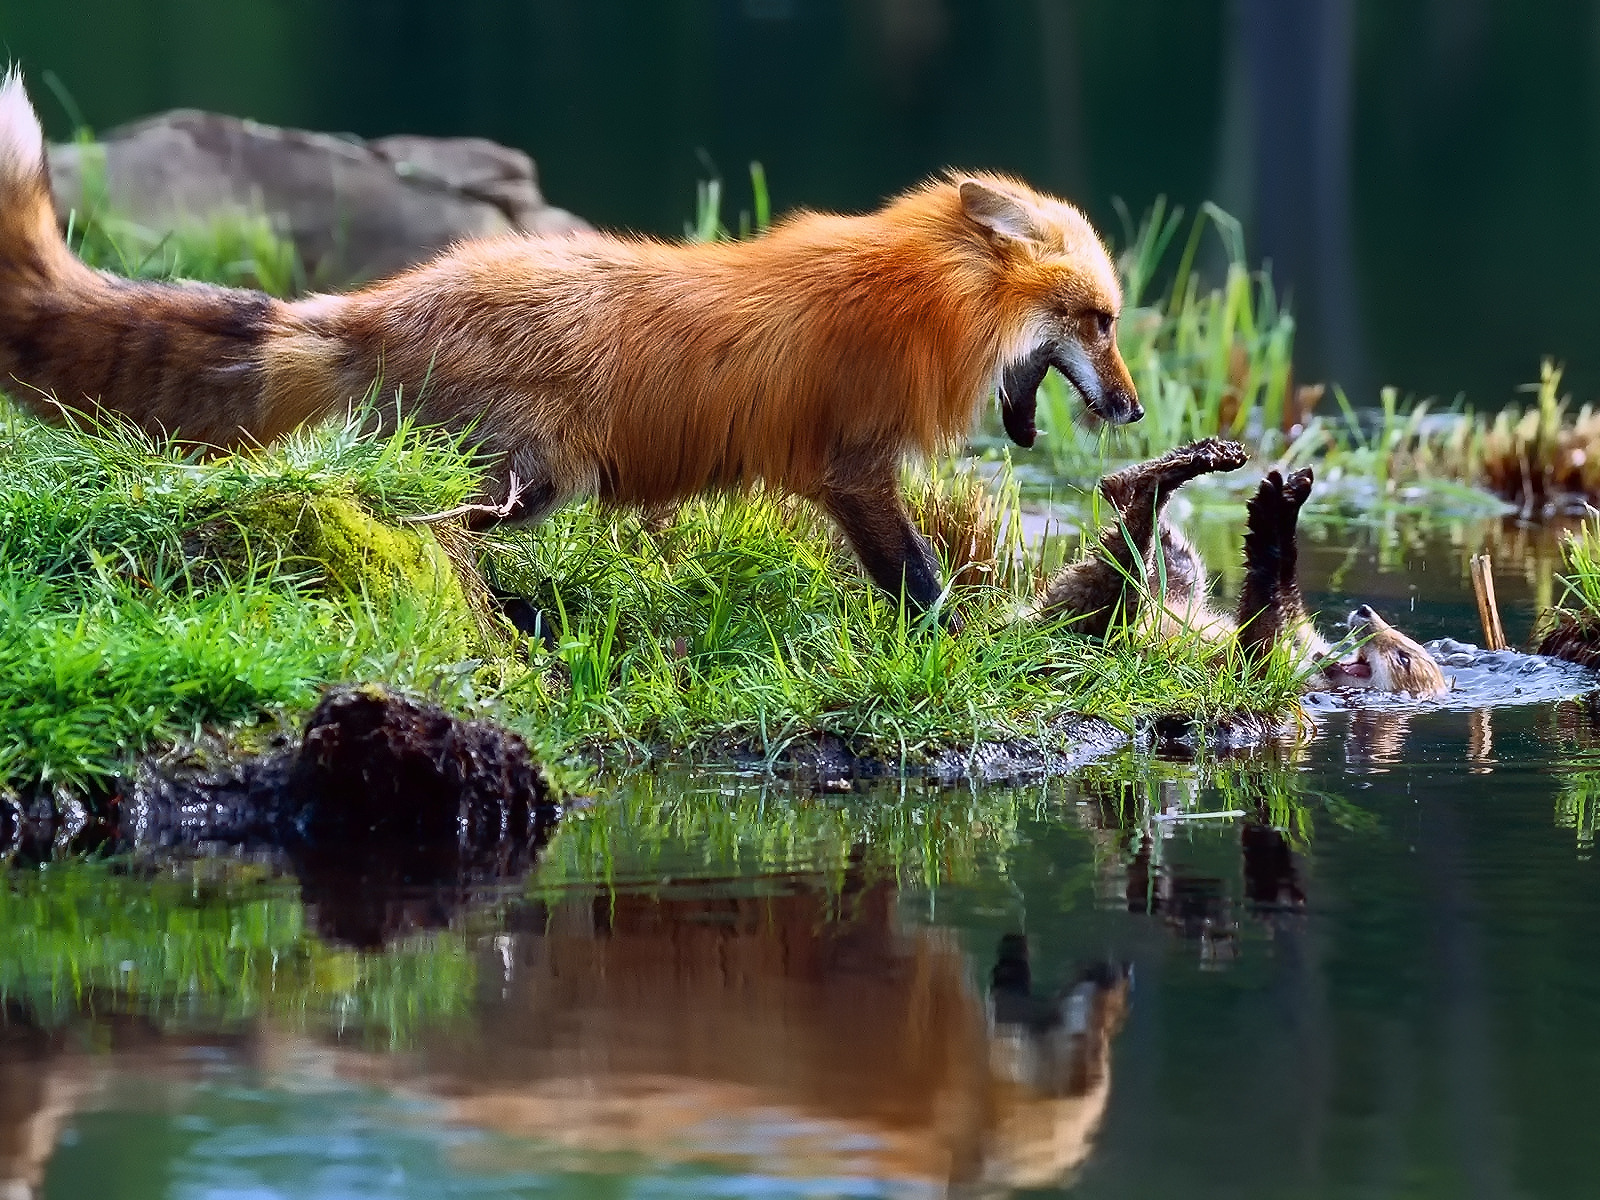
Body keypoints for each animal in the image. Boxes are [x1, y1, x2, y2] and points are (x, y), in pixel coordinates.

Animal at [0, 72, 1139, 620]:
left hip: (527, 483)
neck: (924, 298)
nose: (1131, 410)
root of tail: (379, 303)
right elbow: (920, 580)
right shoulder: (851, 467)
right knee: (424, 524)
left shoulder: (844, 474)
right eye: (1100, 320)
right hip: (525, 477)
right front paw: (954, 645)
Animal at [1036, 444, 1452, 700]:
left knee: (1120, 569)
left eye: (1403, 657)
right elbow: (1287, 602)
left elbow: (1257, 632)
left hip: (1100, 612)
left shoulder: (1269, 672)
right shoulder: (1300, 637)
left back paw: (1155, 484)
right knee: (1167, 564)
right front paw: (1287, 500)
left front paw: (1272, 516)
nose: (1365, 613)